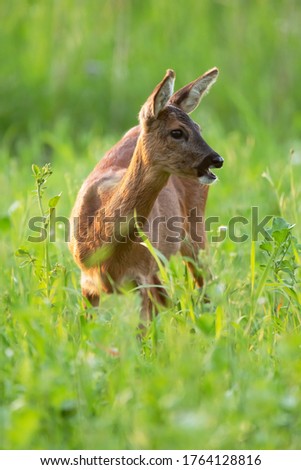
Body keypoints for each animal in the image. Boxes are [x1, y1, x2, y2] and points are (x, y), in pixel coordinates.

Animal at [68, 68, 223, 322]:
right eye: (177, 131)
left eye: (199, 128)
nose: (216, 159)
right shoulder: (87, 282)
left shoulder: (144, 276)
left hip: (195, 229)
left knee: (206, 285)